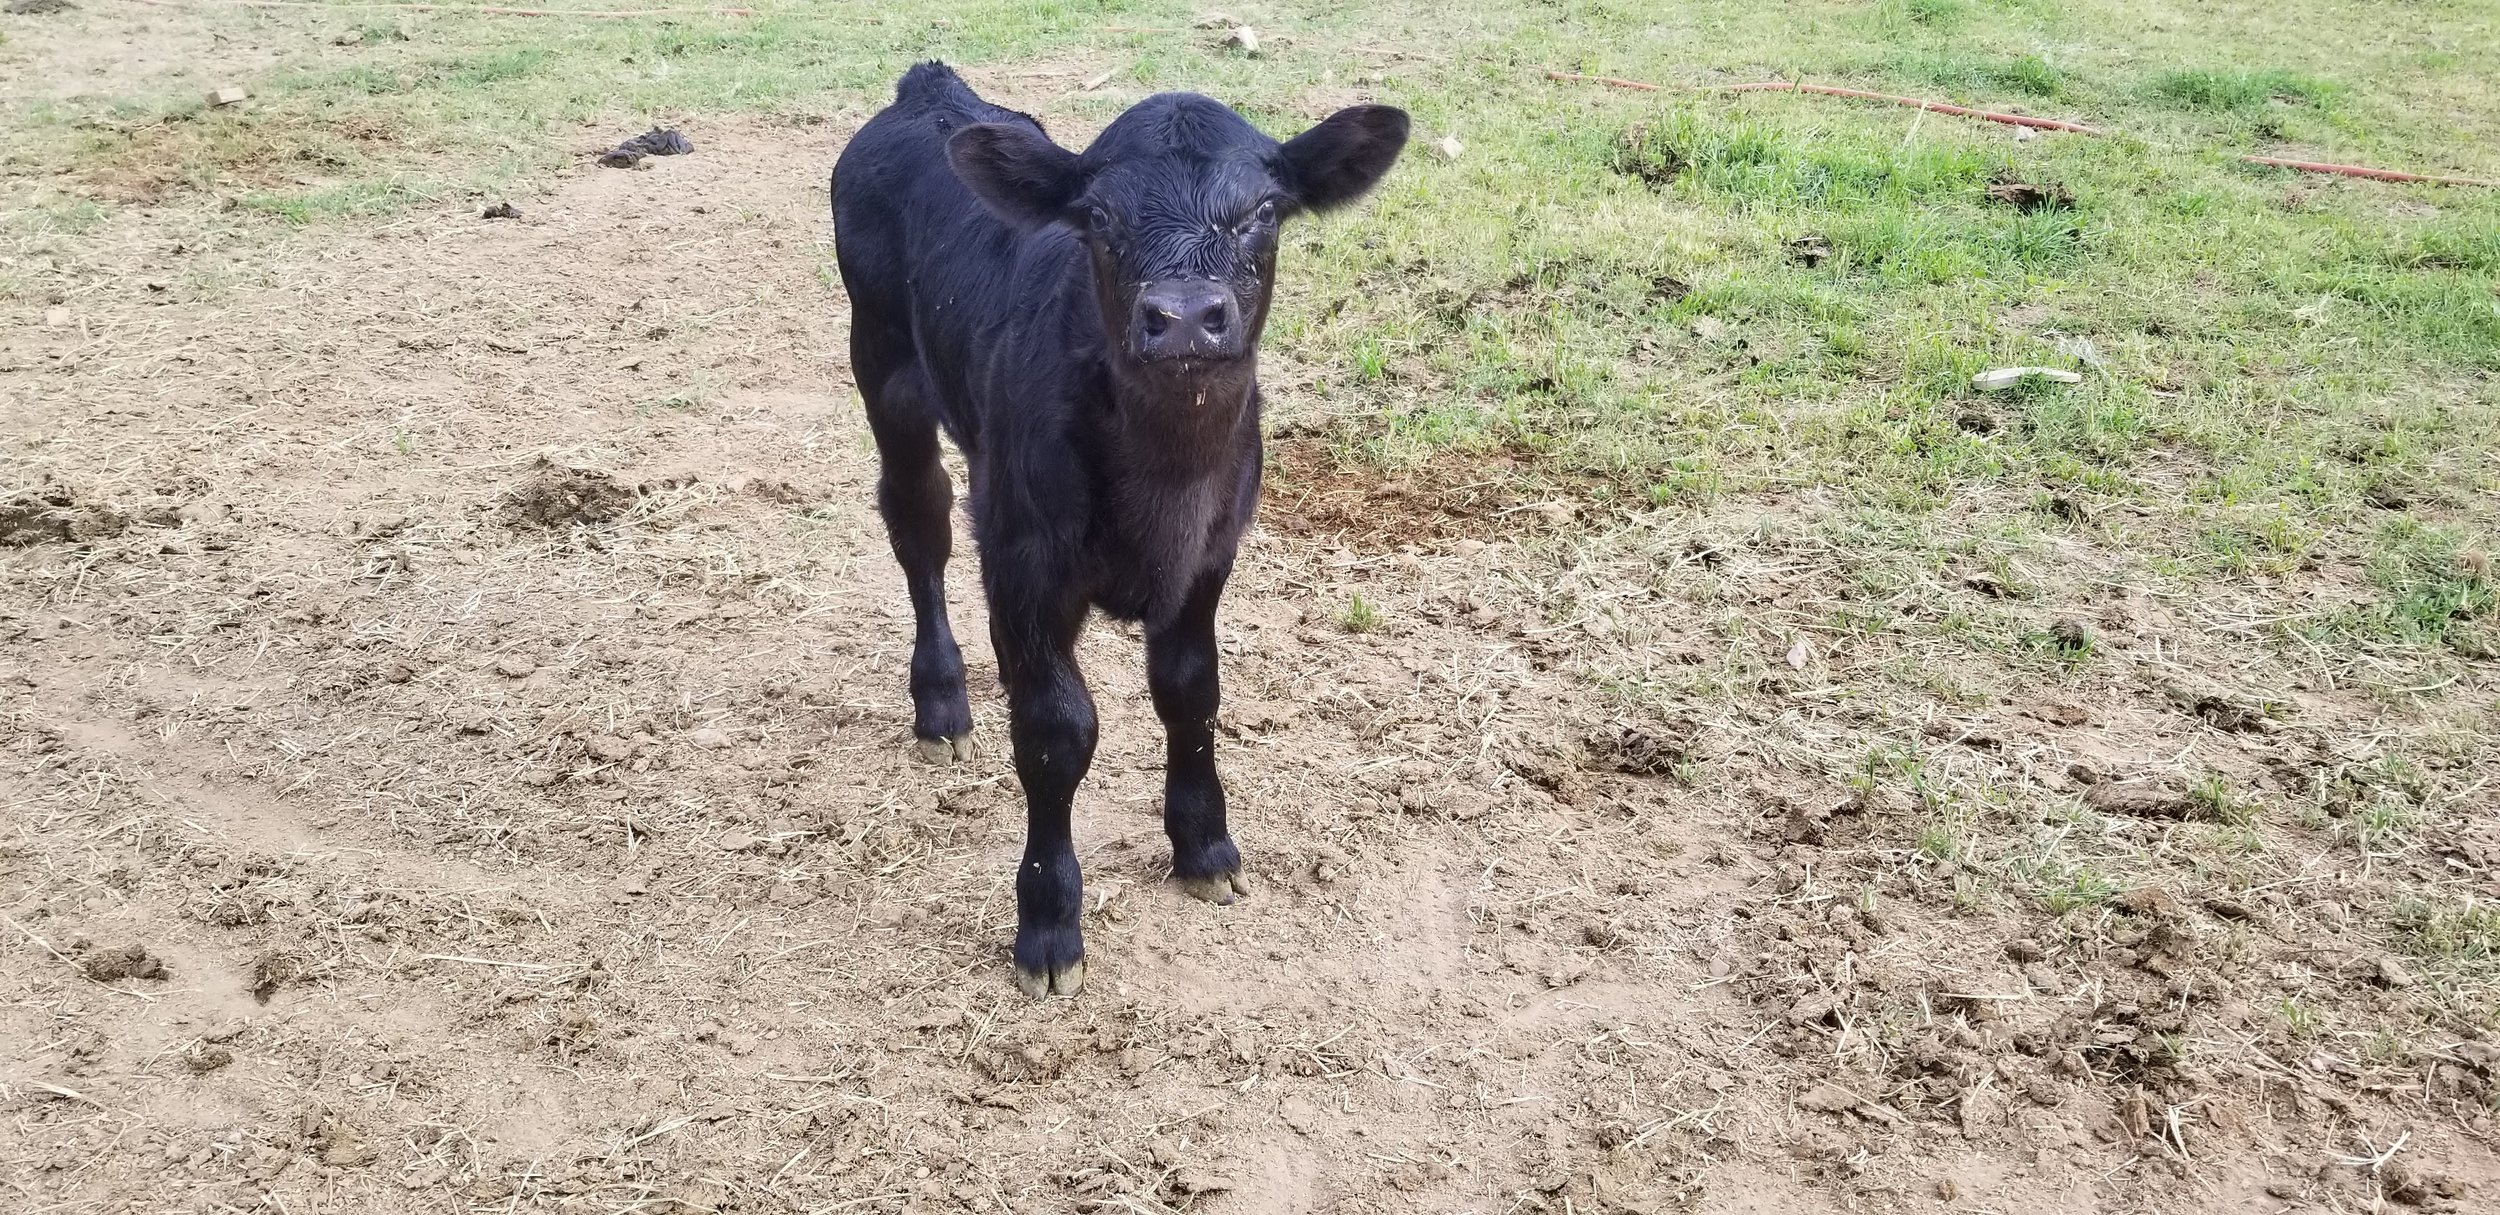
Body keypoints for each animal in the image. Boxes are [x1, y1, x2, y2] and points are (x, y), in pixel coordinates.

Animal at [831, 63, 1408, 997]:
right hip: (884, 369)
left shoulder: (1210, 555)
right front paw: (1048, 923)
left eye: (1264, 210)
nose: (1184, 316)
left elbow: (1191, 691)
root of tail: (931, 90)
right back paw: (942, 703)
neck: (1164, 484)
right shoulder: (1025, 561)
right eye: (1099, 217)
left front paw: (1205, 847)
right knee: (919, 524)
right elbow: (1058, 733)